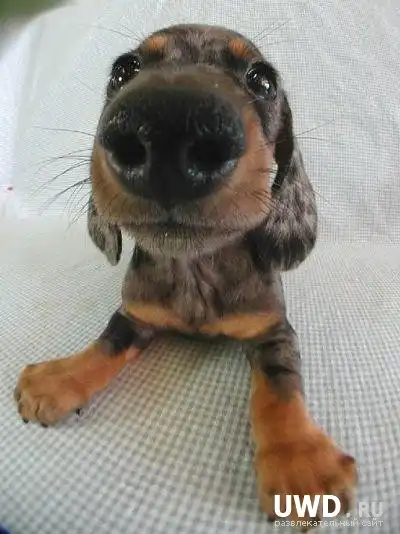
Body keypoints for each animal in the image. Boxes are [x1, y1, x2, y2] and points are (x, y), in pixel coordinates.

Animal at [15, 24, 357, 528]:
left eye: (263, 80)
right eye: (124, 69)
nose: (167, 124)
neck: (195, 266)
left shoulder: (273, 328)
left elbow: (280, 384)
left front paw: (299, 458)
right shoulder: (135, 314)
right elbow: (107, 342)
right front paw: (59, 378)